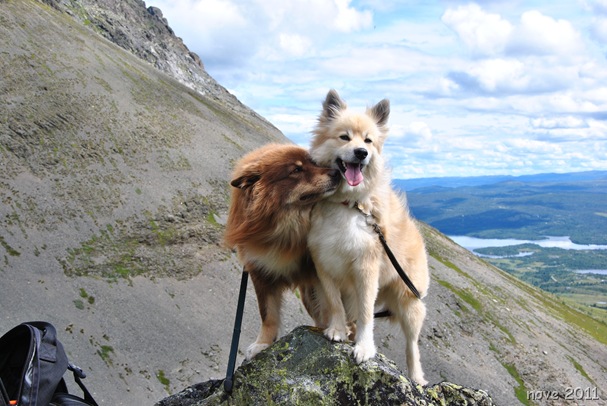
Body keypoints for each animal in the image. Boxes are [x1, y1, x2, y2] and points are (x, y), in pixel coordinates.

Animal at [224, 143, 342, 358]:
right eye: (296, 170)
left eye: (314, 163)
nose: (337, 173)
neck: (285, 227)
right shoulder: (261, 275)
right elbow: (268, 315)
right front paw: (263, 343)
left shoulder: (320, 276)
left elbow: (330, 307)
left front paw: (334, 332)